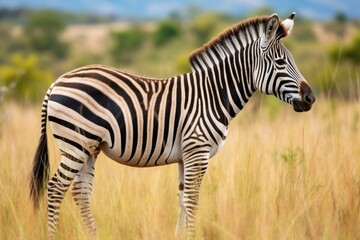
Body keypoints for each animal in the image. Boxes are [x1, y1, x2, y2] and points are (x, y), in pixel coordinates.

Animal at [29, 13, 314, 240]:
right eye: (280, 63)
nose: (310, 98)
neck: (213, 95)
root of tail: (57, 82)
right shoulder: (197, 151)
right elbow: (193, 200)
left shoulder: (184, 156)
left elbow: (182, 199)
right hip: (75, 144)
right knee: (55, 189)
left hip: (89, 147)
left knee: (81, 193)